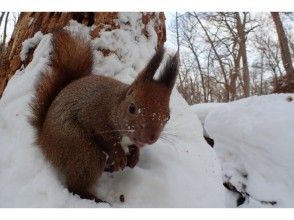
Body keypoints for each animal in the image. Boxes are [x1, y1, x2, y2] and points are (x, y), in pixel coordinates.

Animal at [28, 30, 178, 204]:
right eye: (132, 108)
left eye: (168, 117)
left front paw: (135, 156)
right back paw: (96, 197)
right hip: (80, 148)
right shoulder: (95, 117)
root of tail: (43, 139)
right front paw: (119, 155)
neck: (115, 105)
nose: (150, 137)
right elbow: (106, 140)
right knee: (76, 185)